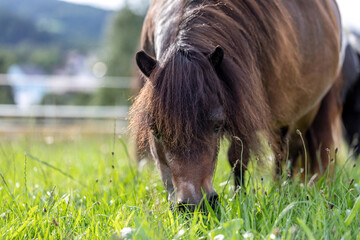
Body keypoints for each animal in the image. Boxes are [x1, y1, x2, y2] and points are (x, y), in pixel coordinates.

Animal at [130, 0, 344, 210]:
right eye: (155, 130)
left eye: (218, 125)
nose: (195, 205)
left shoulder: (244, 113)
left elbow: (237, 159)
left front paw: (239, 200)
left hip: (302, 114)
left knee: (289, 152)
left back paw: (284, 190)